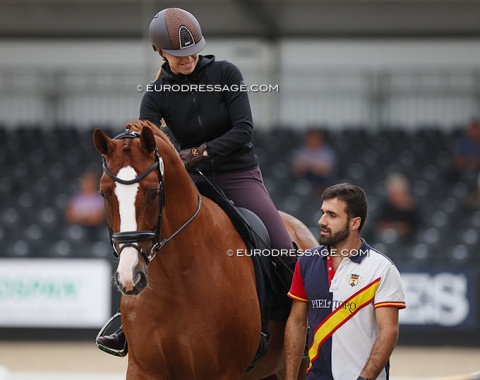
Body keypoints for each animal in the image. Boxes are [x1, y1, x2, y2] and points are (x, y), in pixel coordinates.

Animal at [94, 121, 318, 380]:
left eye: (153, 192)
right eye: (104, 193)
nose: (129, 276)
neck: (176, 281)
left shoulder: (224, 371)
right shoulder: (143, 369)